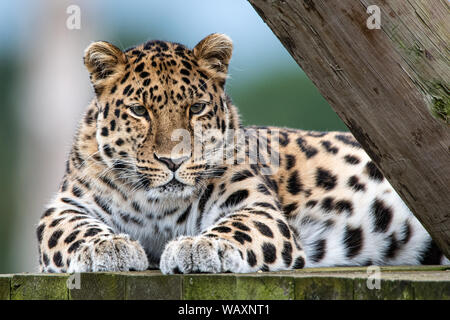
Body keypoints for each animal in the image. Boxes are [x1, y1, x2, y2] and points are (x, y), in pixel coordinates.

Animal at [37, 33, 448, 274]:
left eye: (197, 108)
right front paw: (108, 247)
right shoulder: (65, 205)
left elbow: (235, 227)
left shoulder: (257, 207)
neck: (159, 208)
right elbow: (73, 229)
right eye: (139, 111)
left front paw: (199, 246)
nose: (173, 161)